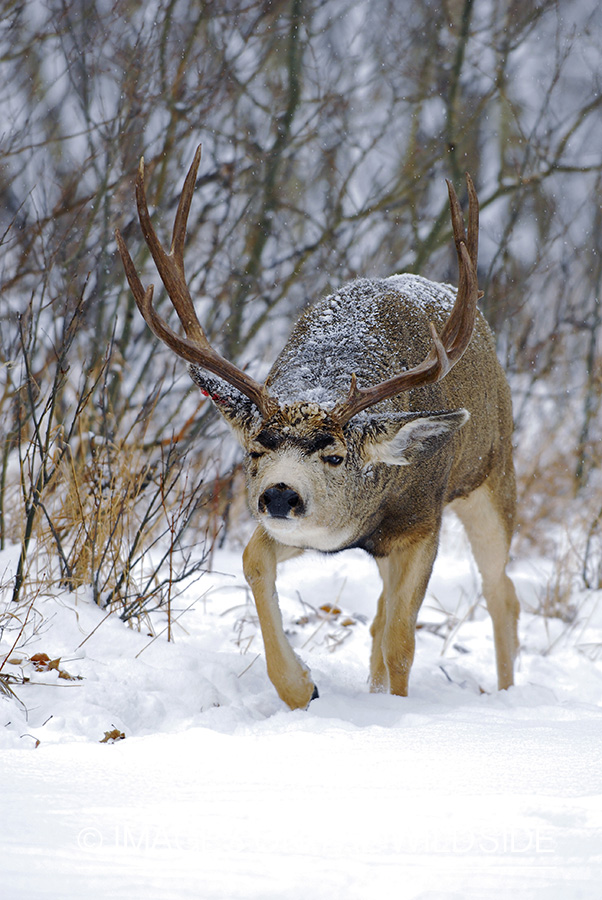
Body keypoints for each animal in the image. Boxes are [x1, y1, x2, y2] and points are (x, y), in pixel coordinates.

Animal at [115, 145, 520, 710]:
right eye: (255, 451)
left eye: (334, 456)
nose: (280, 495)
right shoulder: (319, 530)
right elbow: (253, 560)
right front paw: (301, 686)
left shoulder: (421, 521)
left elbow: (403, 641)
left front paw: (396, 711)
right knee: (381, 614)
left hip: (491, 474)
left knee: (501, 592)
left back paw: (505, 694)